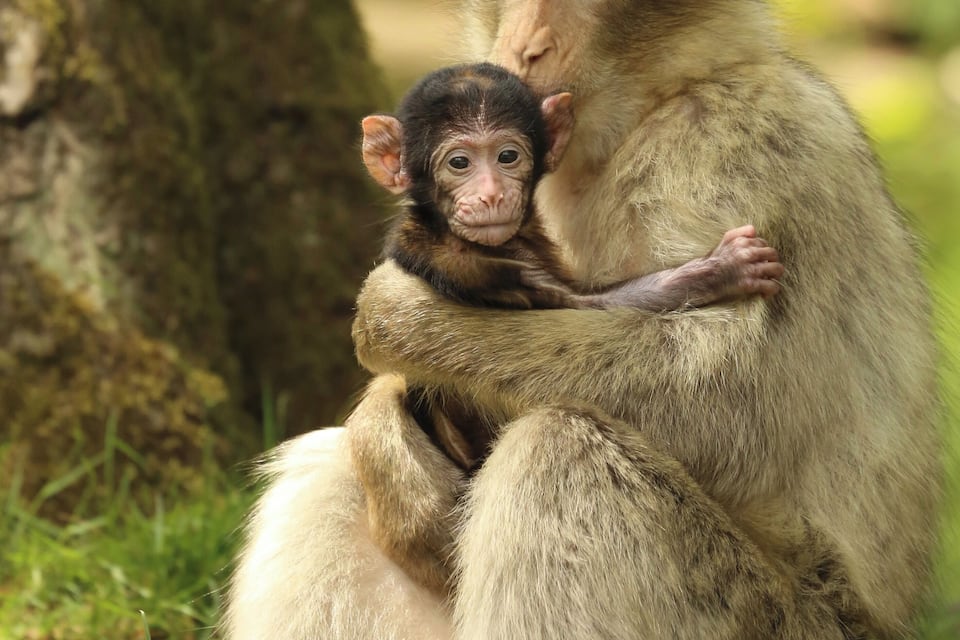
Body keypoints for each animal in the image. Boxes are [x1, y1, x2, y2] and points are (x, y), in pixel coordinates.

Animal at [224, 2, 941, 639]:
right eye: (457, 162)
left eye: (506, 157)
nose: (526, 45)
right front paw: (386, 434)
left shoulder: (735, 142)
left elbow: (725, 401)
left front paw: (394, 313)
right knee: (326, 467)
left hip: (773, 620)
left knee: (560, 452)